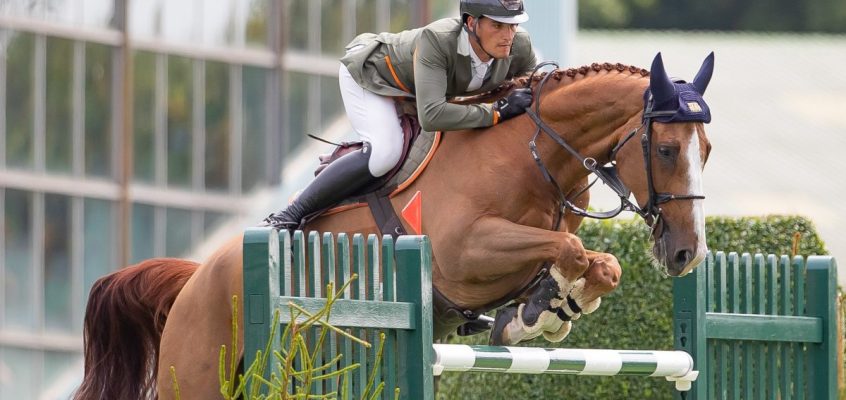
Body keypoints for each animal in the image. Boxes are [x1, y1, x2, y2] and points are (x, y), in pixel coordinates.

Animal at [74, 51, 716, 398]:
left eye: (705, 149)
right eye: (665, 150)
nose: (688, 254)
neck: (535, 155)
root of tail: (196, 277)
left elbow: (597, 262)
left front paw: (541, 310)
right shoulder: (463, 256)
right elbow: (572, 251)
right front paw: (539, 312)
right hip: (202, 376)